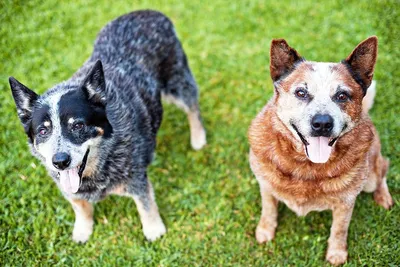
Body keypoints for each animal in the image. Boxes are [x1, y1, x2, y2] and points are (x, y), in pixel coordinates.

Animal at [9, 10, 206, 244]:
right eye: (43, 131)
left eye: (78, 125)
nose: (60, 161)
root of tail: (150, 12)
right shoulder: (69, 189)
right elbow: (80, 207)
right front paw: (83, 230)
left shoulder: (136, 178)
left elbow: (145, 204)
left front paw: (154, 230)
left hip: (177, 82)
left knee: (192, 106)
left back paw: (198, 138)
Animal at [248, 37, 396, 266]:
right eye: (301, 92)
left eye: (342, 95)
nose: (322, 123)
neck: (306, 166)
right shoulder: (265, 184)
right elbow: (268, 208)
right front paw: (265, 230)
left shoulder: (346, 203)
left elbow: (339, 229)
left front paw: (337, 253)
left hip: (371, 176)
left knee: (383, 169)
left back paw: (383, 196)